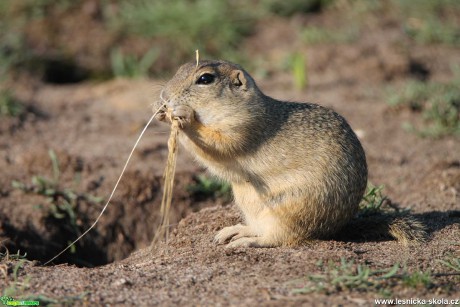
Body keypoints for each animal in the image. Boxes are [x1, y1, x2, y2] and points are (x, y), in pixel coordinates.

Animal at [156, 60, 426, 248]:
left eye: (205, 78)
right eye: (180, 67)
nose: (164, 95)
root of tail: (337, 229)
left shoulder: (243, 128)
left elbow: (218, 144)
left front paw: (181, 115)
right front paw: (161, 112)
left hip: (290, 211)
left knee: (278, 238)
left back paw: (243, 241)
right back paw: (234, 231)